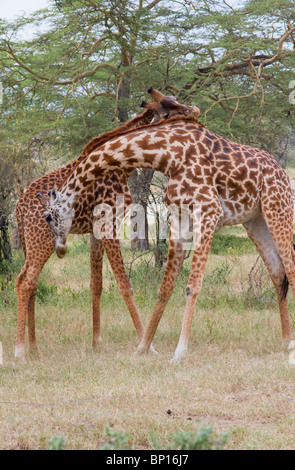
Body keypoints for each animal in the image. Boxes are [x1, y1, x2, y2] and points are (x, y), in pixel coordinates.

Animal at [15, 92, 200, 360]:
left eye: (174, 99)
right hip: (42, 240)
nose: (194, 110)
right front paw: (148, 345)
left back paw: (34, 348)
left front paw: (97, 343)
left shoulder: (96, 229)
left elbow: (97, 284)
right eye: (168, 108)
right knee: (25, 282)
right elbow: (125, 285)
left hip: (31, 243)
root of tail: (18, 208)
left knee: (31, 283)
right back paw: (20, 351)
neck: (124, 166)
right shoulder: (110, 221)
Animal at [42, 89, 294, 360]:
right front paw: (143, 347)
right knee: (278, 273)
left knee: (290, 269)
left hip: (278, 210)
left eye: (48, 217)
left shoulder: (208, 210)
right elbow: (165, 286)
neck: (167, 156)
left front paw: (180, 351)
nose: (60, 249)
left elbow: (192, 286)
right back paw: (286, 341)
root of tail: (281, 171)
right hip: (256, 220)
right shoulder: (180, 216)